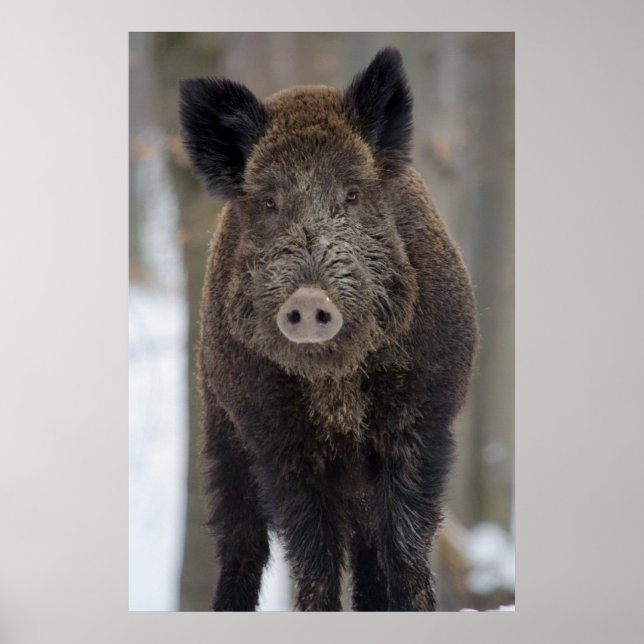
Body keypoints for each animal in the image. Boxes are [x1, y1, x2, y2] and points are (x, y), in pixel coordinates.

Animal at [179, 47, 478, 611]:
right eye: (268, 202)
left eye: (353, 194)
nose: (309, 299)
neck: (335, 385)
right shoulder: (274, 436)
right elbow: (312, 556)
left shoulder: (422, 418)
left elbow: (404, 545)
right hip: (220, 429)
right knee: (241, 540)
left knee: (368, 550)